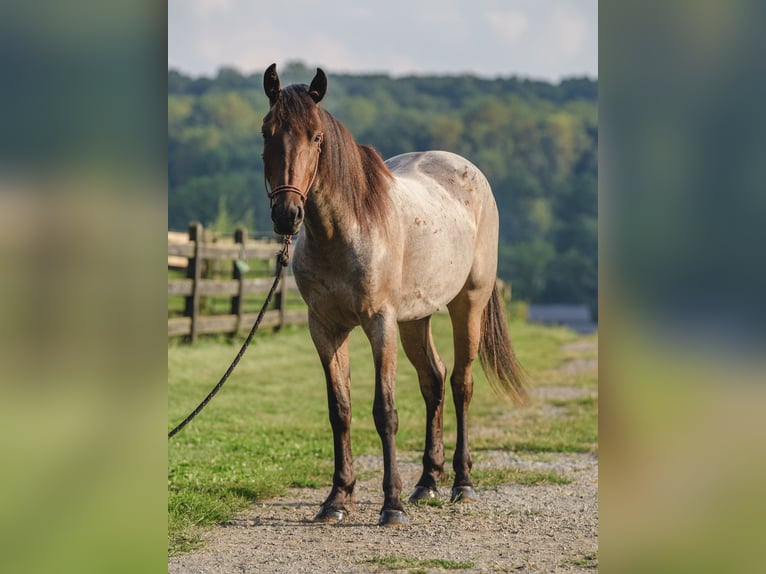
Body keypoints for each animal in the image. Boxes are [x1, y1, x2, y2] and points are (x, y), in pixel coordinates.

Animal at [261, 64, 527, 527]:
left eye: (316, 137)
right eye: (266, 131)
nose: (287, 215)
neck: (345, 229)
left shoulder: (379, 323)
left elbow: (384, 412)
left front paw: (391, 505)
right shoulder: (325, 329)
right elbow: (340, 410)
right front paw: (337, 499)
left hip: (467, 304)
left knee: (461, 383)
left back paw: (461, 484)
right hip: (415, 319)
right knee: (433, 381)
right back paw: (428, 481)